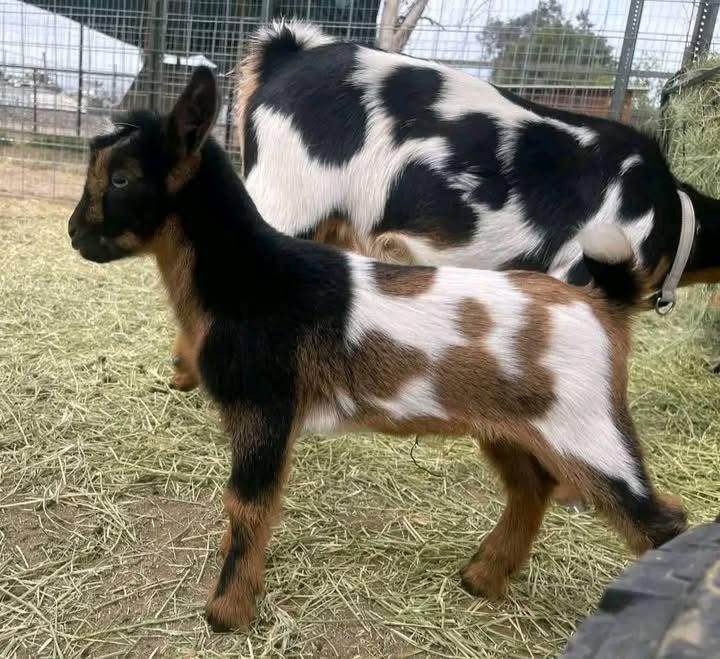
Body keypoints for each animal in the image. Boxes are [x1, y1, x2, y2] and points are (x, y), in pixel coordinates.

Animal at [68, 67, 687, 632]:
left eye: (121, 179)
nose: (76, 234)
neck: (254, 275)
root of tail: (606, 302)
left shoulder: (266, 407)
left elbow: (247, 504)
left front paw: (227, 612)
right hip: (513, 427)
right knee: (532, 489)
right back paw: (482, 578)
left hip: (589, 431)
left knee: (661, 521)